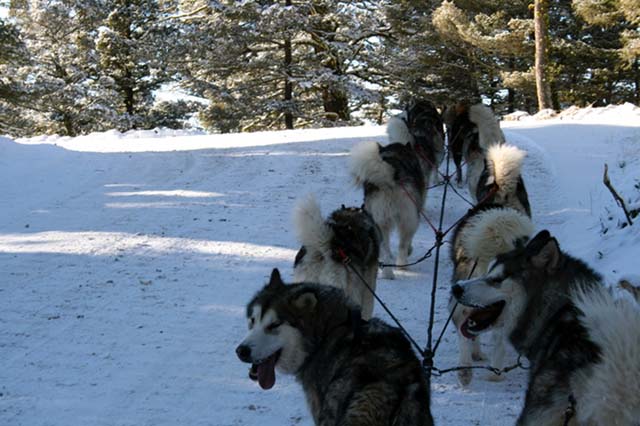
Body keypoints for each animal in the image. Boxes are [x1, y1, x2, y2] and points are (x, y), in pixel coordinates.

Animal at [350, 140, 424, 280]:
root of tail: (390, 176)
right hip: (408, 218)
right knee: (402, 245)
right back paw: (402, 266)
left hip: (380, 222)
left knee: (386, 250)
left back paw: (387, 273)